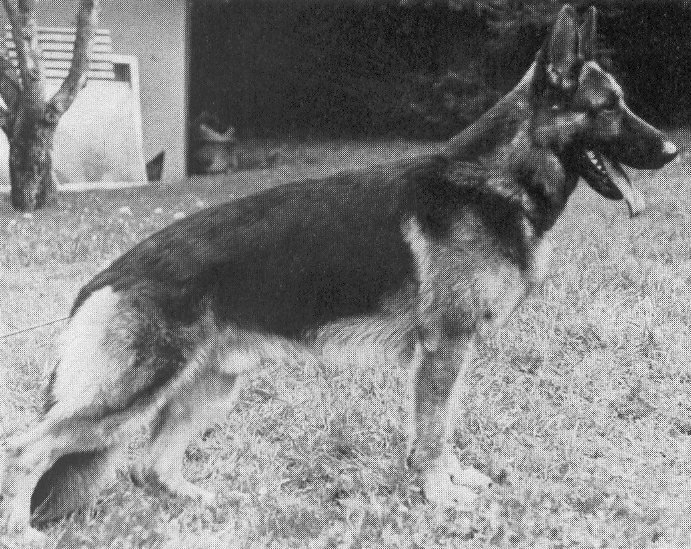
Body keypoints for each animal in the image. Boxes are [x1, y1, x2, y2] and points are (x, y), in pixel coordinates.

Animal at [0, 5, 678, 543]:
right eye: (609, 108)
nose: (672, 150)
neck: (492, 181)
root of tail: (101, 280)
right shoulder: (444, 349)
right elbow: (433, 432)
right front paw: (440, 495)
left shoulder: (453, 353)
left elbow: (444, 425)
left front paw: (451, 481)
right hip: (130, 396)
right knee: (26, 449)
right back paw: (25, 532)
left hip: (213, 387)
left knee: (149, 465)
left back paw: (203, 504)